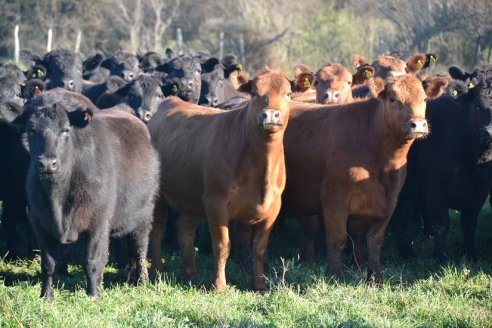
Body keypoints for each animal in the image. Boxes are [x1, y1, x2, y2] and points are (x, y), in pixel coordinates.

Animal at [22, 89, 160, 300]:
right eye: (31, 130)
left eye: (65, 130)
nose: (47, 163)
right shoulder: (39, 222)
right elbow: (48, 263)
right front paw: (46, 295)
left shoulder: (98, 222)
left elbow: (92, 261)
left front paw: (94, 295)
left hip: (144, 214)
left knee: (140, 247)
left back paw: (141, 280)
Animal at [146, 68, 292, 290]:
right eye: (254, 93)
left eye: (288, 93)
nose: (270, 115)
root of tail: (170, 101)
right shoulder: (216, 201)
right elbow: (223, 246)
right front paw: (219, 285)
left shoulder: (274, 206)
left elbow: (259, 248)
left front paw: (259, 285)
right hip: (160, 195)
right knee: (158, 230)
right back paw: (157, 270)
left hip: (192, 196)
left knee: (185, 230)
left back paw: (191, 273)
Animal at [280, 73, 446, 282]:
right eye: (393, 99)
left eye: (424, 99)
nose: (418, 124)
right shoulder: (334, 199)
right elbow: (337, 239)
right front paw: (335, 277)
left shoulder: (389, 201)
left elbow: (373, 241)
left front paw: (374, 277)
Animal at [394, 65, 492, 260]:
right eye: (477, 105)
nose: (490, 133)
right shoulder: (434, 188)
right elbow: (442, 225)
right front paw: (440, 256)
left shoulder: (480, 193)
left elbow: (469, 225)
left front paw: (469, 254)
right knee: (406, 212)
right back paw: (407, 250)